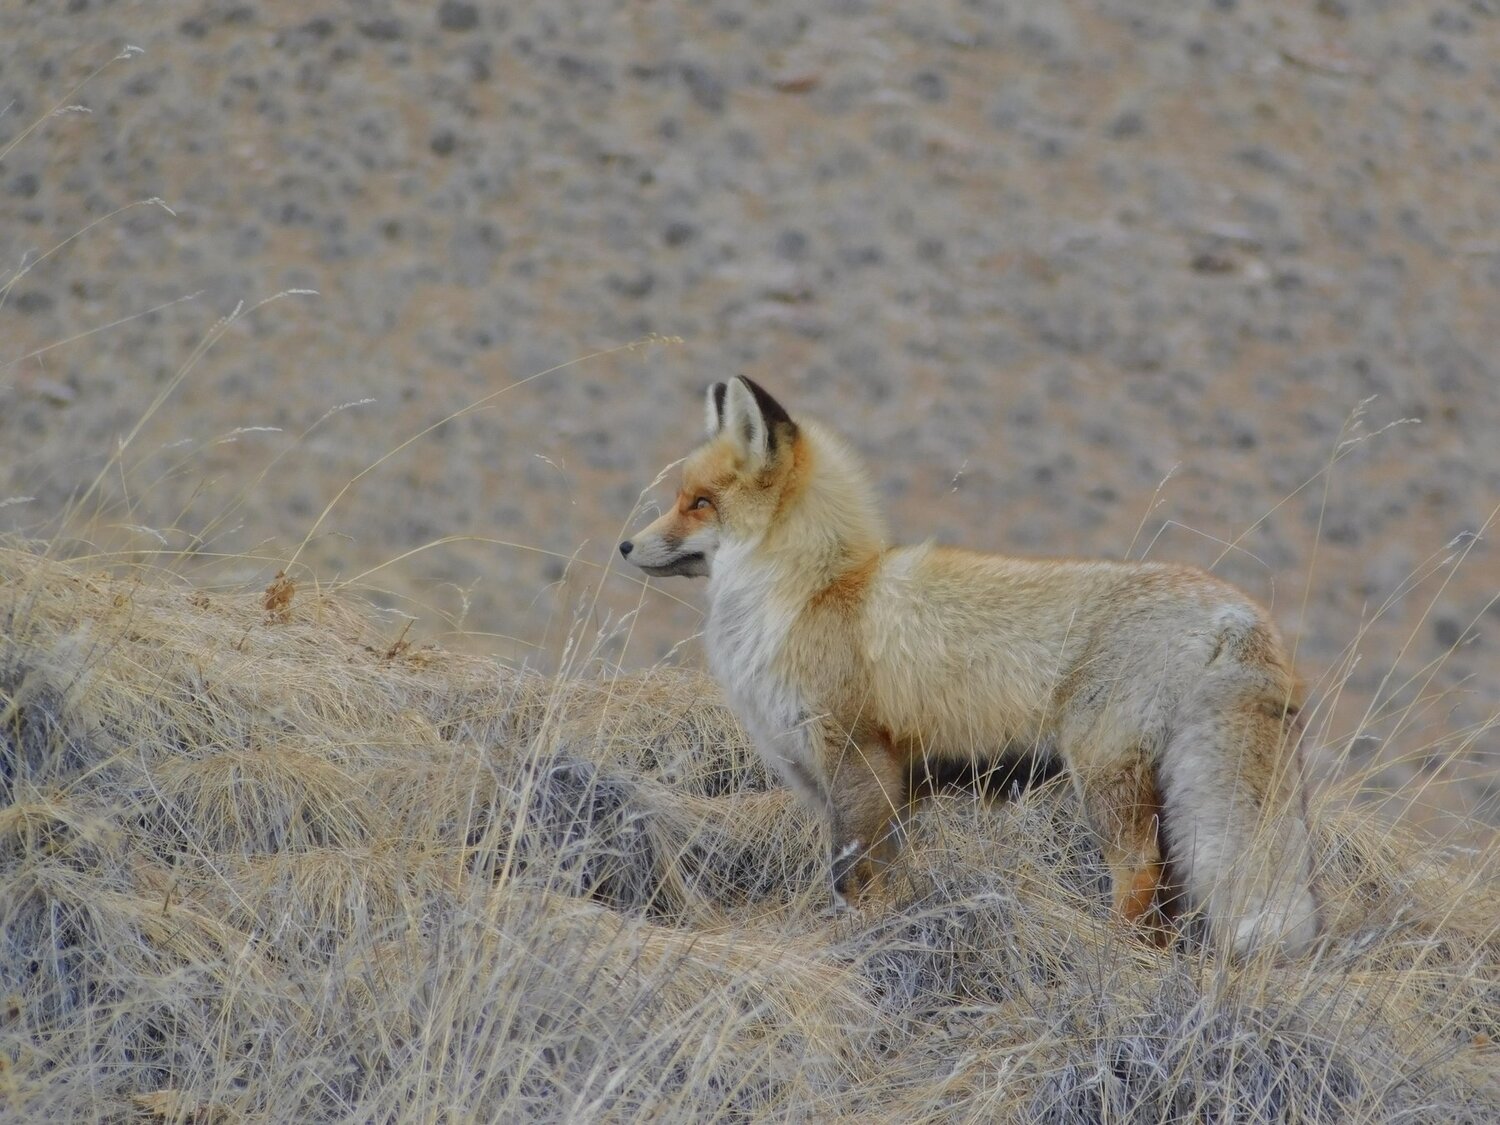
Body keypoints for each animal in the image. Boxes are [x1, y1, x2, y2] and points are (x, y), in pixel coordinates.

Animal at [620, 376, 1320, 955]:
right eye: (680, 498)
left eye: (699, 503)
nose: (625, 545)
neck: (813, 594)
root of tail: (1237, 612)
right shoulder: (871, 787)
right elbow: (884, 879)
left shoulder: (859, 763)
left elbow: (852, 881)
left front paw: (853, 940)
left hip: (1104, 775)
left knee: (1140, 875)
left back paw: (1114, 955)